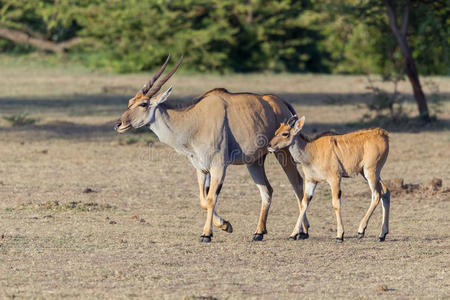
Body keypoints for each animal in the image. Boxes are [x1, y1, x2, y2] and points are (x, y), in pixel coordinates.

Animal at [114, 56, 310, 243]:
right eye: (131, 101)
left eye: (143, 104)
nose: (119, 124)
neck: (194, 121)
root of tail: (281, 103)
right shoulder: (201, 168)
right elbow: (204, 200)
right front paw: (225, 225)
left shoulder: (219, 166)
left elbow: (210, 199)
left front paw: (206, 234)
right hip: (254, 162)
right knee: (267, 190)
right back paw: (259, 232)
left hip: (283, 153)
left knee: (297, 184)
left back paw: (301, 232)